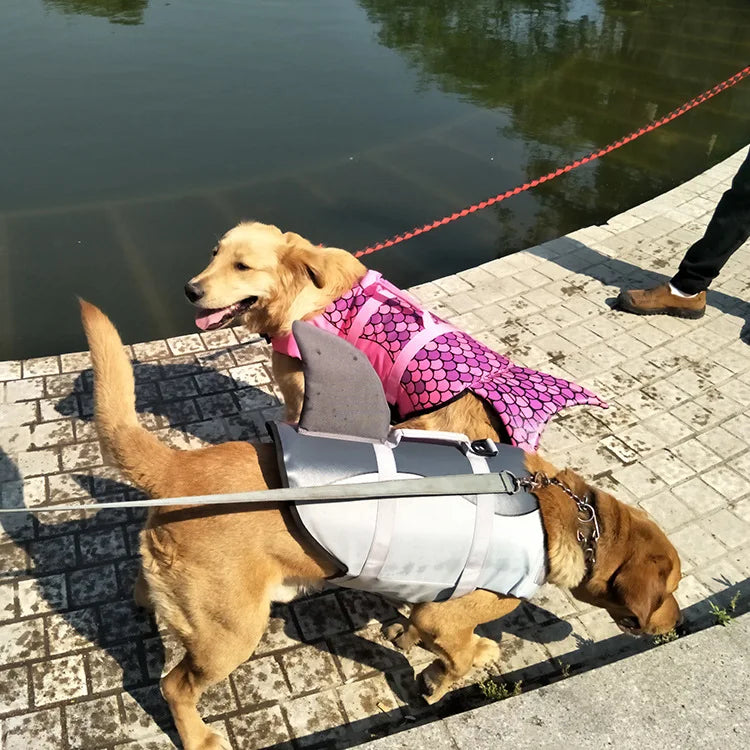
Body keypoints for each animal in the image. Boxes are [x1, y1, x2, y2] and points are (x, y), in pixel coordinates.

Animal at [81, 302, 680, 750]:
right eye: (670, 588)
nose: (674, 624)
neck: (569, 515)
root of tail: (178, 469)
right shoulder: (451, 615)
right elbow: (459, 654)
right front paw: (447, 677)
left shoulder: (431, 599)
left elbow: (418, 627)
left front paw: (408, 639)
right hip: (231, 633)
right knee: (173, 686)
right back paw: (198, 734)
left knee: (146, 595)